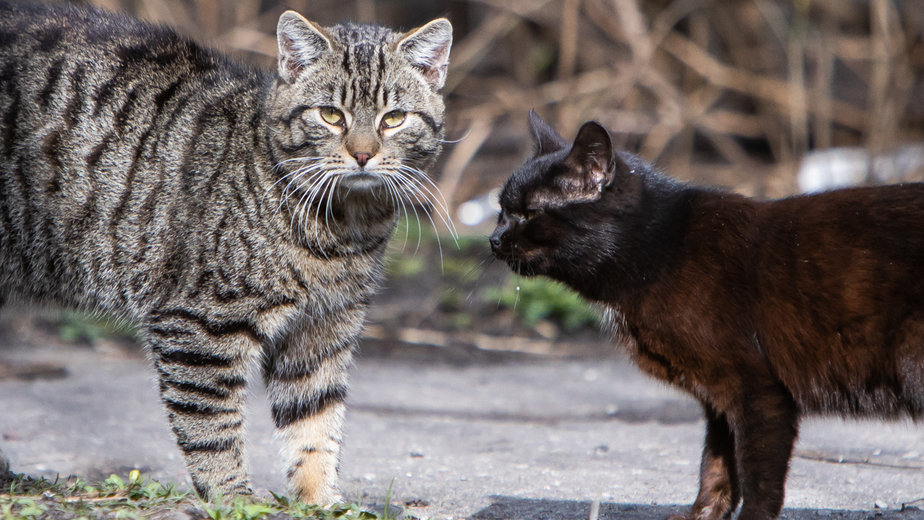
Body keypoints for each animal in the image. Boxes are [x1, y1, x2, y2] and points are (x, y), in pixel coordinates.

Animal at [0, 0, 452, 504]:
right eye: (331, 115)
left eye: (394, 118)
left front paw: (320, 500)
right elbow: (211, 426)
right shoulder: (199, 326)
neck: (346, 228)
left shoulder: (324, 329)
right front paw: (233, 499)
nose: (362, 155)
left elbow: (314, 424)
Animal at [490, 111, 924, 520]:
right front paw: (702, 513)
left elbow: (757, 473)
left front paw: (750, 518)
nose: (493, 239)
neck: (661, 247)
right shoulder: (717, 397)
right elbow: (716, 463)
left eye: (530, 213)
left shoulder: (758, 389)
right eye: (500, 210)